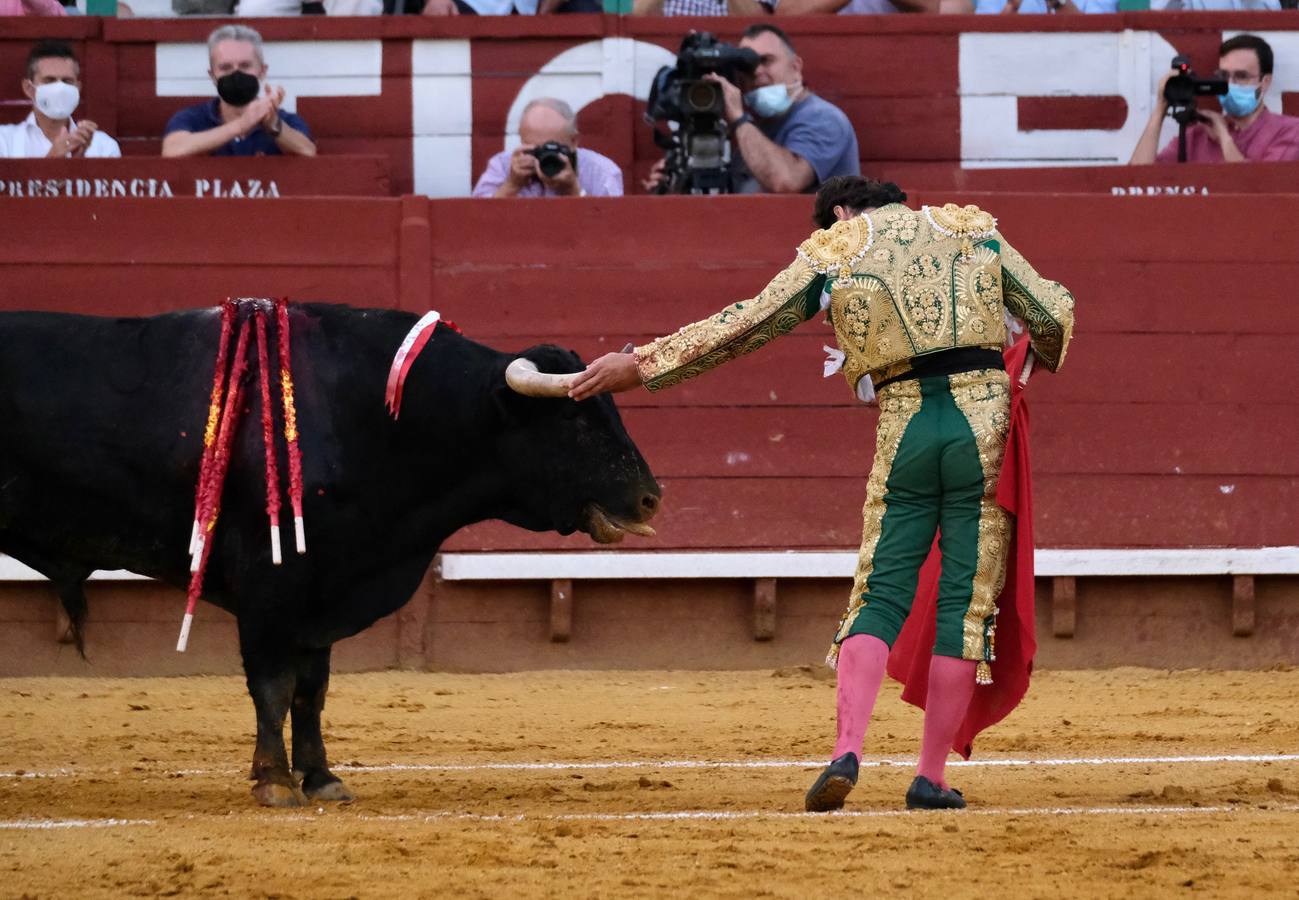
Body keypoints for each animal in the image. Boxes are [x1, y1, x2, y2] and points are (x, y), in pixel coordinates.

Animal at [0, 305, 659, 805]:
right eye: (574, 418)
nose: (651, 498)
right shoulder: (270, 587)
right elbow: (271, 683)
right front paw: (274, 782)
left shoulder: (320, 591)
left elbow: (310, 689)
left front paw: (319, 777)